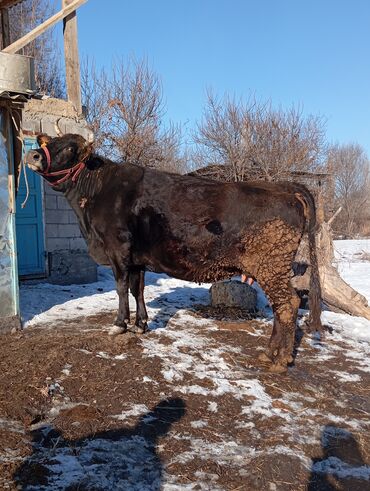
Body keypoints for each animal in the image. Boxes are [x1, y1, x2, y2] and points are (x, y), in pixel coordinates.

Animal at [25, 135, 320, 372]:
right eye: (49, 142)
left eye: (69, 148)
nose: (33, 155)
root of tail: (284, 187)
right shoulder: (136, 259)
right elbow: (137, 289)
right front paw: (141, 324)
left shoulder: (117, 250)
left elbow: (121, 288)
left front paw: (120, 324)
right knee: (284, 305)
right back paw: (270, 353)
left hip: (271, 265)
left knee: (287, 304)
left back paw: (278, 359)